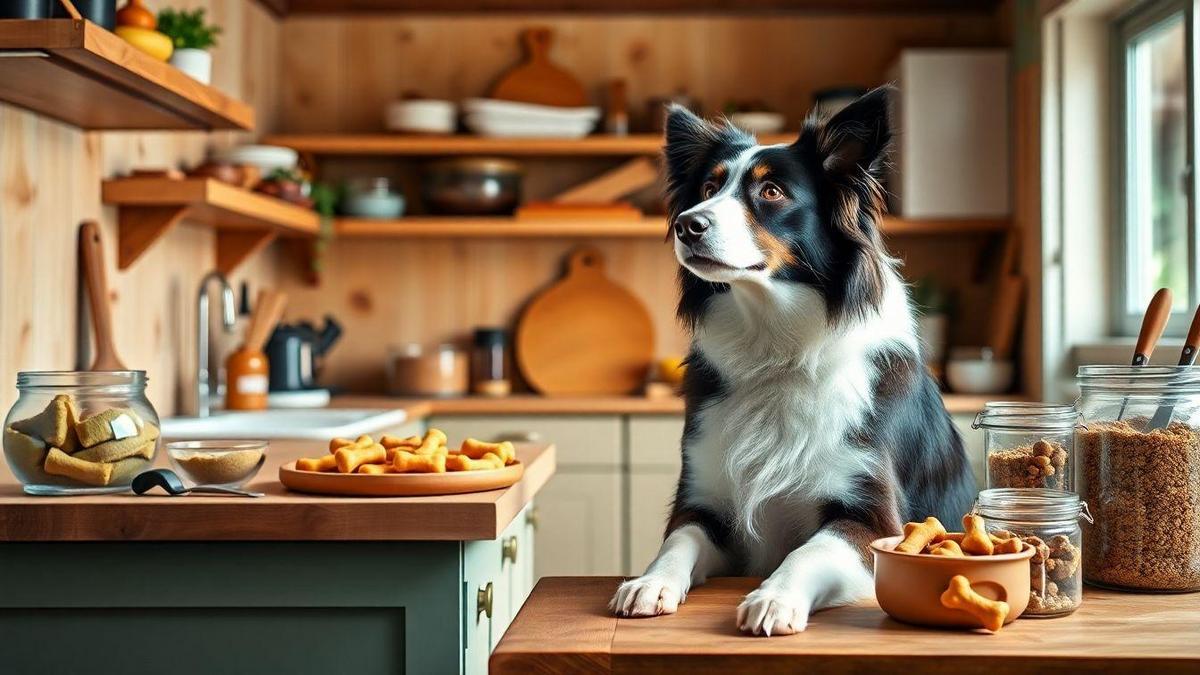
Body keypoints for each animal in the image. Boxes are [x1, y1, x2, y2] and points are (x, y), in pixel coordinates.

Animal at [609, 88, 974, 629]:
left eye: (772, 192)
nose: (685, 225)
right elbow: (676, 542)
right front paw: (649, 582)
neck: (776, 349)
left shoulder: (872, 519)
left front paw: (775, 597)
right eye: (708, 187)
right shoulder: (704, 500)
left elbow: (808, 550)